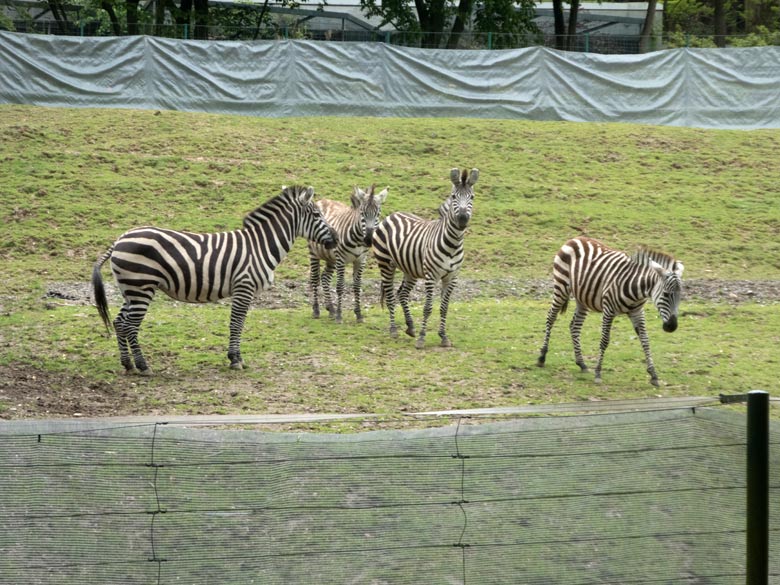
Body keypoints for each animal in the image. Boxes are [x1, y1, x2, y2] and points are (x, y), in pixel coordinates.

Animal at [91, 185, 336, 374]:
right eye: (317, 215)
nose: (334, 239)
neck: (260, 245)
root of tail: (120, 239)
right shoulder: (244, 286)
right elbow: (236, 323)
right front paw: (235, 359)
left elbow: (238, 323)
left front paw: (235, 357)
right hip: (141, 287)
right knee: (131, 325)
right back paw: (143, 366)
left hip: (130, 289)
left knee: (120, 322)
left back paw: (128, 364)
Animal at [306, 185, 388, 324]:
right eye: (362, 213)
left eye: (378, 213)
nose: (368, 240)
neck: (358, 240)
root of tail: (321, 200)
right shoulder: (341, 259)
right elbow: (340, 286)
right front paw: (339, 315)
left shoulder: (361, 260)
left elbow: (357, 286)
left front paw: (359, 314)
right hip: (314, 253)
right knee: (315, 279)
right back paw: (316, 310)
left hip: (330, 257)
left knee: (325, 278)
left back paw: (330, 308)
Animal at [370, 167, 476, 350]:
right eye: (453, 196)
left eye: (472, 197)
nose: (463, 219)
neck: (453, 244)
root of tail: (392, 215)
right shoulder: (431, 276)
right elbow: (428, 308)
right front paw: (421, 338)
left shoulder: (452, 277)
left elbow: (444, 307)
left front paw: (443, 337)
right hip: (385, 263)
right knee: (390, 296)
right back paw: (394, 330)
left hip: (410, 269)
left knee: (402, 294)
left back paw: (410, 327)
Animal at [536, 235, 684, 386]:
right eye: (666, 294)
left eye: (680, 296)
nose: (672, 326)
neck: (637, 289)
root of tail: (575, 238)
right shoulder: (608, 310)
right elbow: (605, 340)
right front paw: (598, 373)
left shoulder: (637, 312)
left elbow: (645, 340)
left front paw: (653, 374)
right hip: (561, 286)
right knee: (551, 318)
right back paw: (542, 357)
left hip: (582, 297)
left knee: (574, 326)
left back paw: (581, 363)